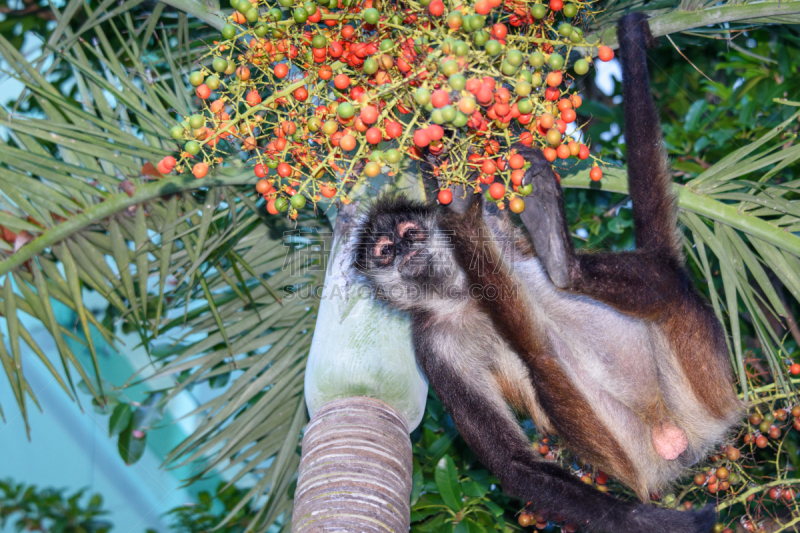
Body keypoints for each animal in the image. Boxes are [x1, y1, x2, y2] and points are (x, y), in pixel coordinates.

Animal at [354, 13, 740, 532]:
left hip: (699, 368)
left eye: (410, 235)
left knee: (661, 282)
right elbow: (516, 466)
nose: (401, 254)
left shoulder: (496, 224)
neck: (461, 294)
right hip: (652, 430)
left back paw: (550, 251)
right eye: (384, 251)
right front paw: (652, 523)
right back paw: (551, 258)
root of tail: (687, 435)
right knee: (544, 350)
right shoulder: (431, 345)